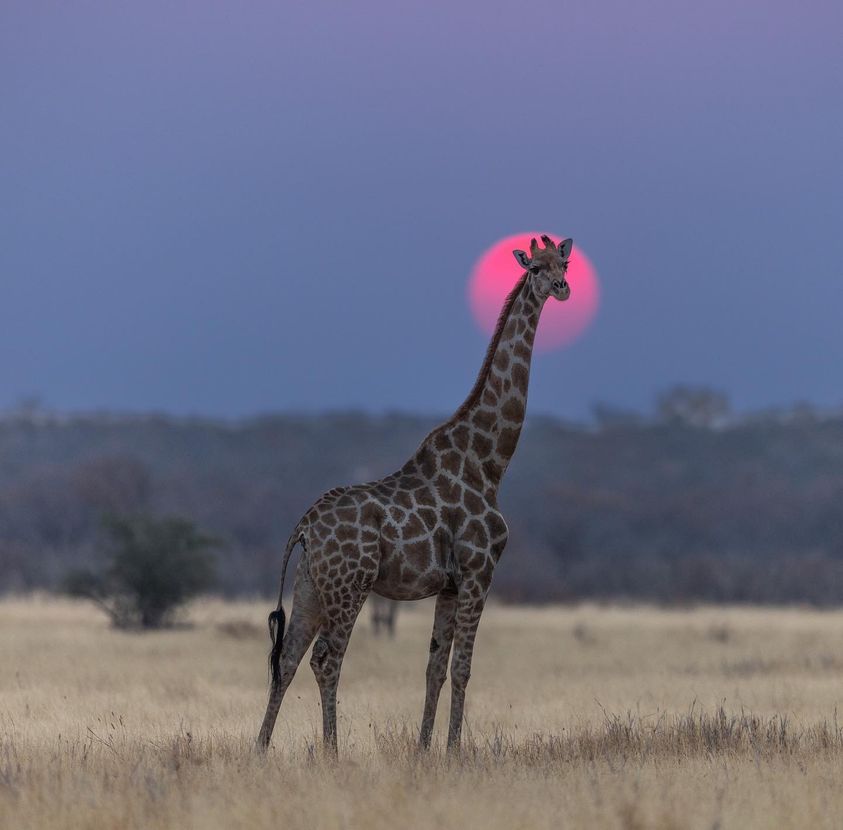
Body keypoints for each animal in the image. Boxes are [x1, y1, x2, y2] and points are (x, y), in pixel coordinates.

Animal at [258, 232, 572, 752]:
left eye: (564, 263)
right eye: (534, 267)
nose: (562, 288)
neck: (490, 463)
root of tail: (303, 526)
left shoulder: (449, 584)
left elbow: (435, 669)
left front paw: (425, 749)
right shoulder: (479, 570)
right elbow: (463, 668)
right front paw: (454, 751)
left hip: (310, 585)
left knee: (286, 657)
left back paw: (261, 750)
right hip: (350, 584)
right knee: (326, 659)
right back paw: (332, 753)